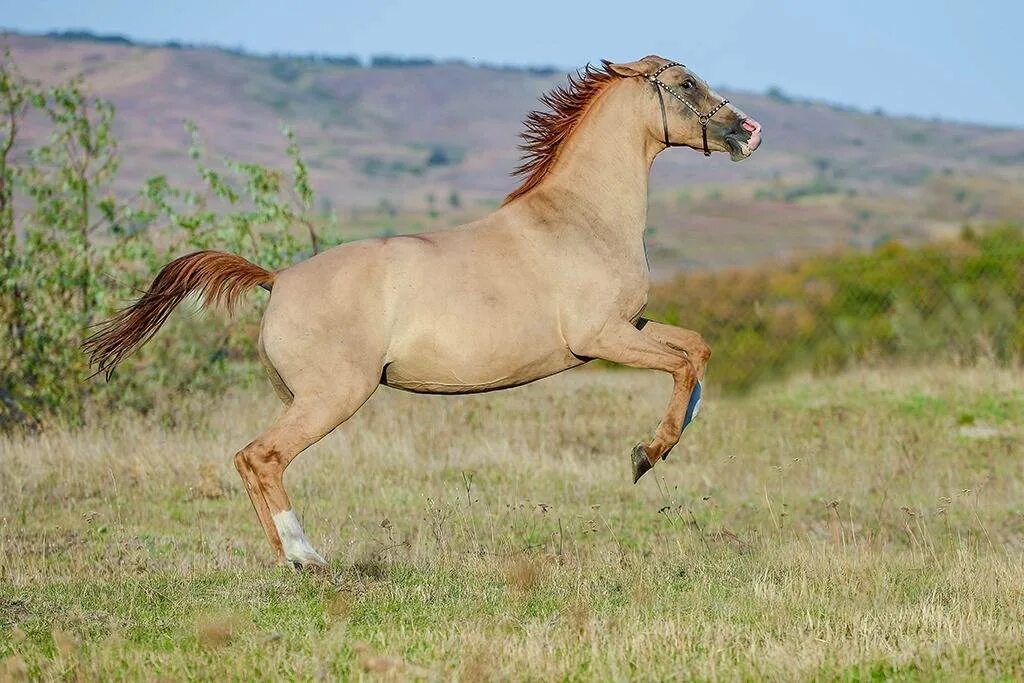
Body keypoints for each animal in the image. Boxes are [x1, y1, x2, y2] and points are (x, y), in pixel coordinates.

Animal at [86, 54, 761, 565]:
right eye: (685, 84)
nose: (748, 131)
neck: (580, 218)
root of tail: (277, 280)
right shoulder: (601, 338)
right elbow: (682, 365)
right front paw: (648, 454)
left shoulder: (630, 327)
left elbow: (696, 349)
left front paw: (672, 436)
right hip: (333, 396)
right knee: (261, 457)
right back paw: (306, 556)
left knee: (250, 461)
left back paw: (285, 559)